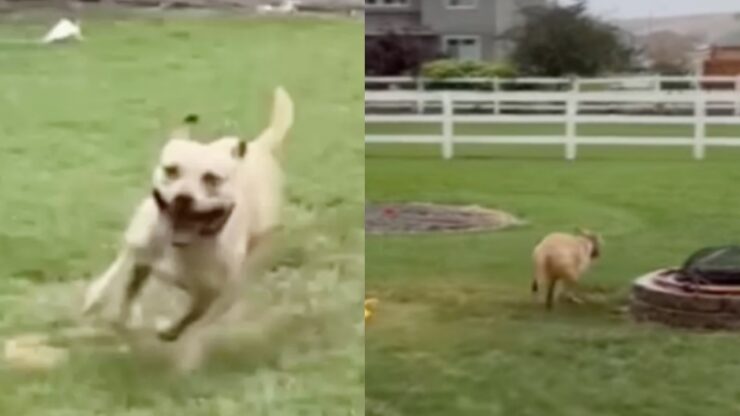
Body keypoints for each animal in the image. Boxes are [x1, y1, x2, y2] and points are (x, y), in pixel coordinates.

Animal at [79, 88, 292, 342]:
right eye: (171, 170)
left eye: (212, 179)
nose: (183, 197)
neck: (181, 247)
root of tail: (259, 147)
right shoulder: (138, 249)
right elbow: (121, 274)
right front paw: (101, 302)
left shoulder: (212, 294)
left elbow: (192, 315)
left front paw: (169, 331)